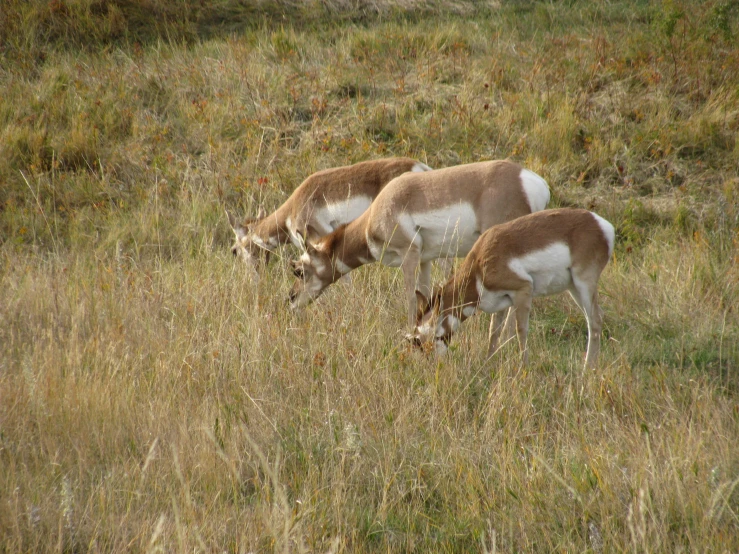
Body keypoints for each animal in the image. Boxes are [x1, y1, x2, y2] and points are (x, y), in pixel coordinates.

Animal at [290, 157, 548, 326]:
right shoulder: (425, 260)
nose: (290, 299)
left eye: (300, 271)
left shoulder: (409, 255)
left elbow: (410, 296)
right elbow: (423, 291)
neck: (378, 212)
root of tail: (534, 182)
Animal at [410, 207, 612, 366]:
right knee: (596, 318)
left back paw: (587, 369)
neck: (479, 265)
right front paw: (488, 364)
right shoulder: (501, 303)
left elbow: (520, 330)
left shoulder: (523, 290)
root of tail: (602, 225)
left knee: (595, 320)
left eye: (429, 336)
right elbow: (494, 332)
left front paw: (524, 367)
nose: (434, 364)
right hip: (574, 288)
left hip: (583, 284)